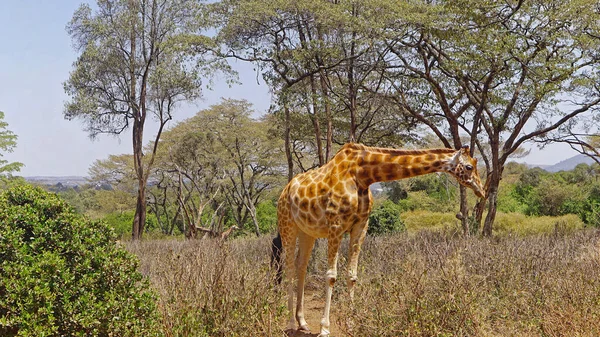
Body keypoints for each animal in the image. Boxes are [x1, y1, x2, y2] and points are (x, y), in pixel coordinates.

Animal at [276, 142, 482, 336]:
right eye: (469, 166)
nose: (481, 190)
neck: (363, 175)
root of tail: (286, 189)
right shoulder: (336, 225)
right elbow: (331, 276)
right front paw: (325, 328)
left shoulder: (361, 226)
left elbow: (352, 275)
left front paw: (351, 323)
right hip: (287, 225)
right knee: (289, 268)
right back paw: (291, 324)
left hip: (307, 232)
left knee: (301, 267)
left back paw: (303, 322)